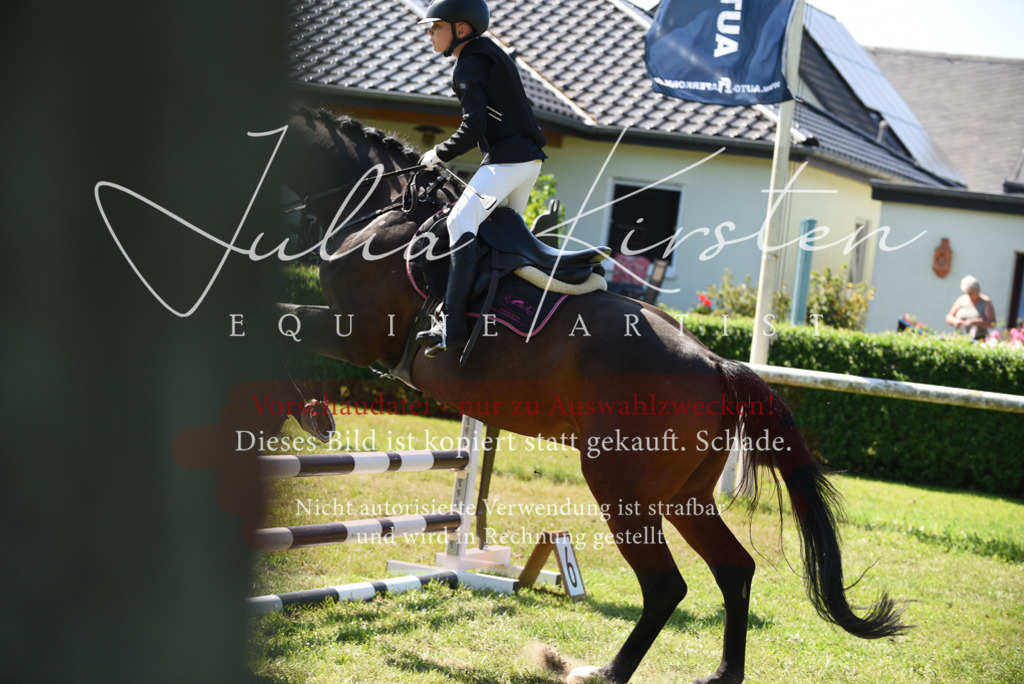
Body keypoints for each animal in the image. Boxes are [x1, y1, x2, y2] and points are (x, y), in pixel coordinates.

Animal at [272, 108, 906, 684]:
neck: (383, 211)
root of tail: (717, 364)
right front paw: (306, 415)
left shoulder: (352, 335)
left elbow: (277, 323)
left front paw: (307, 415)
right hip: (685, 496)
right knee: (734, 569)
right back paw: (720, 674)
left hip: (620, 486)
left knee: (665, 585)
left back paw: (603, 672)